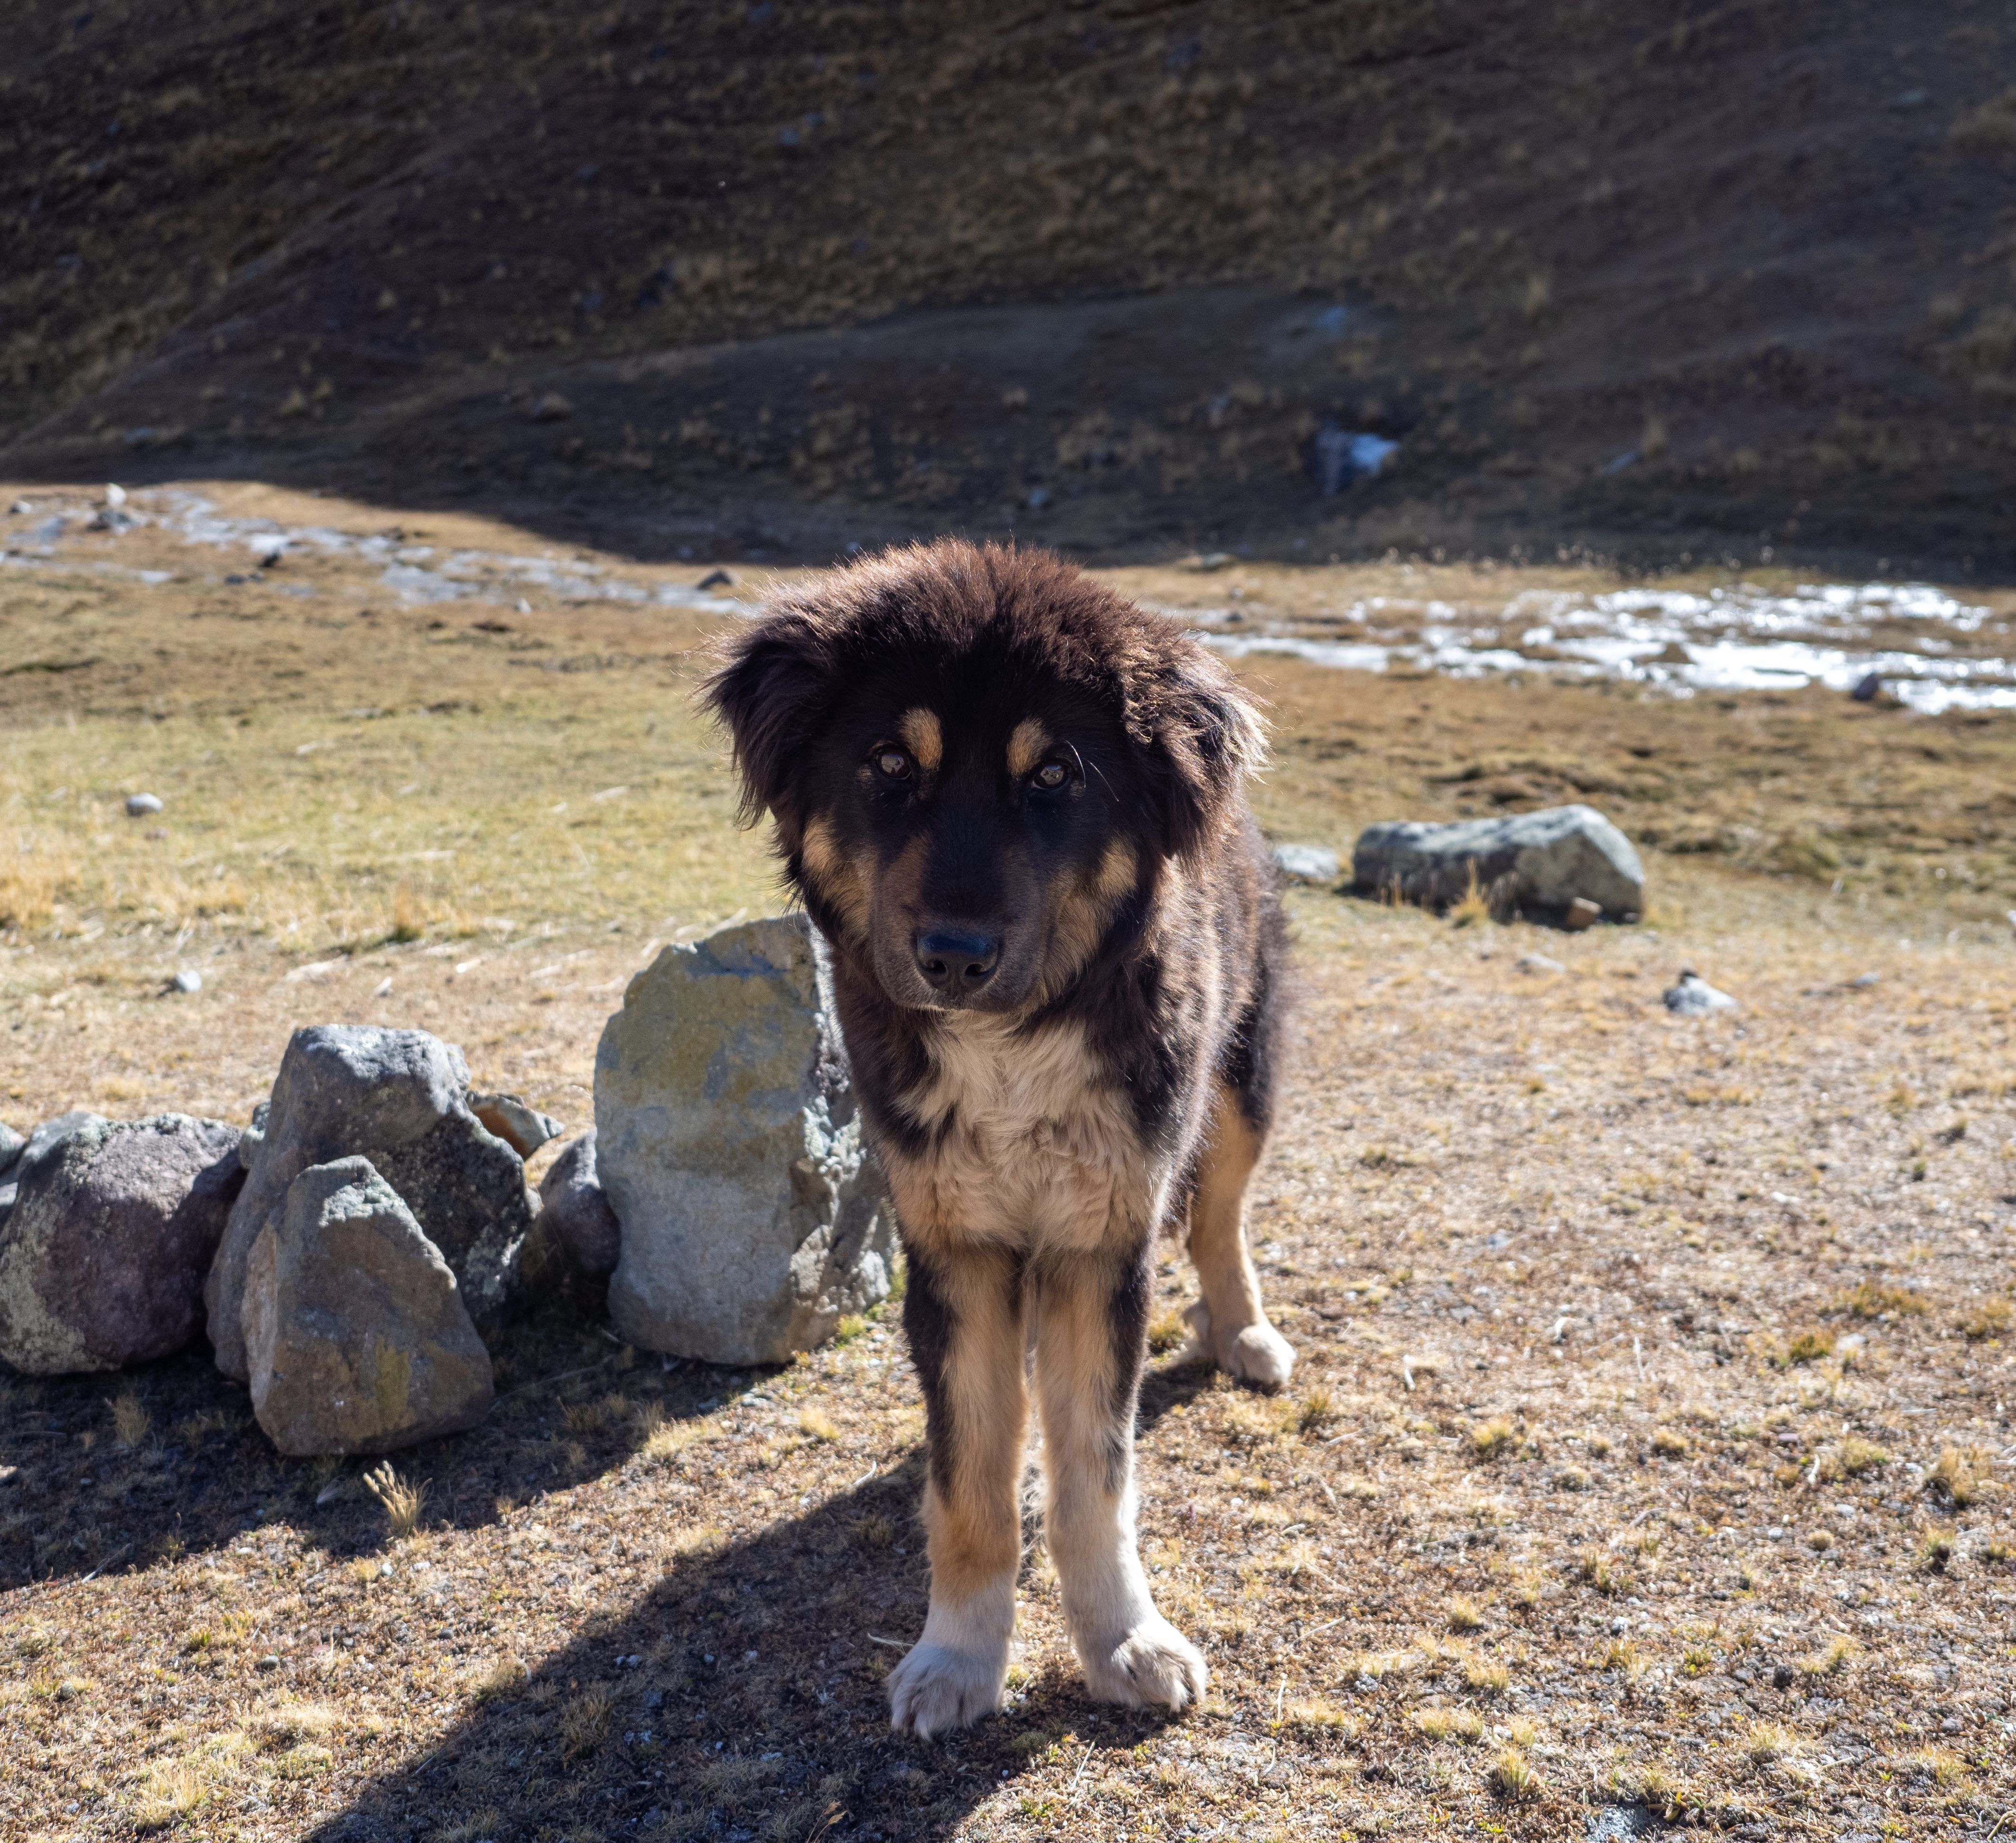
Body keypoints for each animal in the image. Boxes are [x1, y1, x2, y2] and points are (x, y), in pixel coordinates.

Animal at [709, 540, 1298, 1734]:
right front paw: (959, 1658)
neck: (1011, 1051)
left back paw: (1242, 1330)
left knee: (1221, 1216)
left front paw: (1123, 1641)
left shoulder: (1098, 1245)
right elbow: (971, 1480)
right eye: (891, 762)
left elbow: (1093, 1478)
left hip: (1240, 1086)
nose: (953, 954)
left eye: (1055, 774)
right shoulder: (958, 1251)